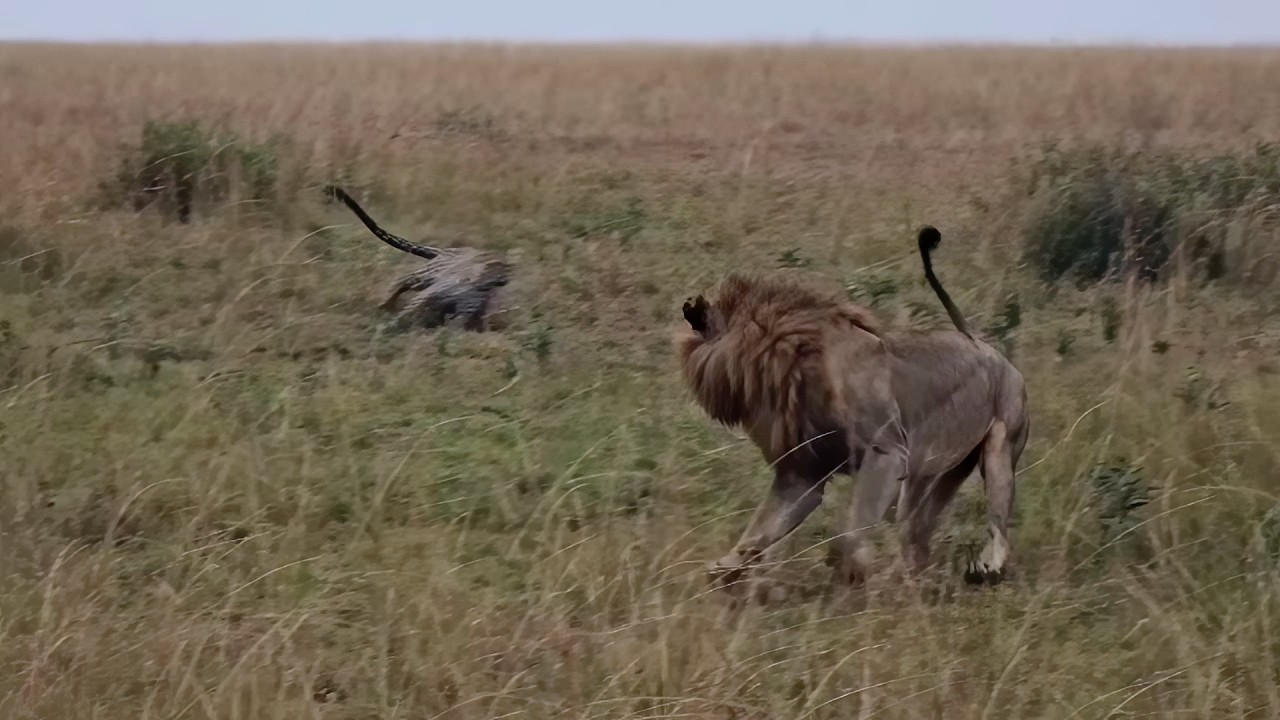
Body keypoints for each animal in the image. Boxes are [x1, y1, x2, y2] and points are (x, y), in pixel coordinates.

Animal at [677, 227, 1029, 591]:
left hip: (1000, 449)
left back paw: (985, 568)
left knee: (999, 524)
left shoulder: (887, 451)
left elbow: (850, 529)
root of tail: (986, 345)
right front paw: (724, 570)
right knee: (917, 532)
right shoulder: (803, 473)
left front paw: (849, 571)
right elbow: (762, 528)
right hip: (937, 473)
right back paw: (913, 577)